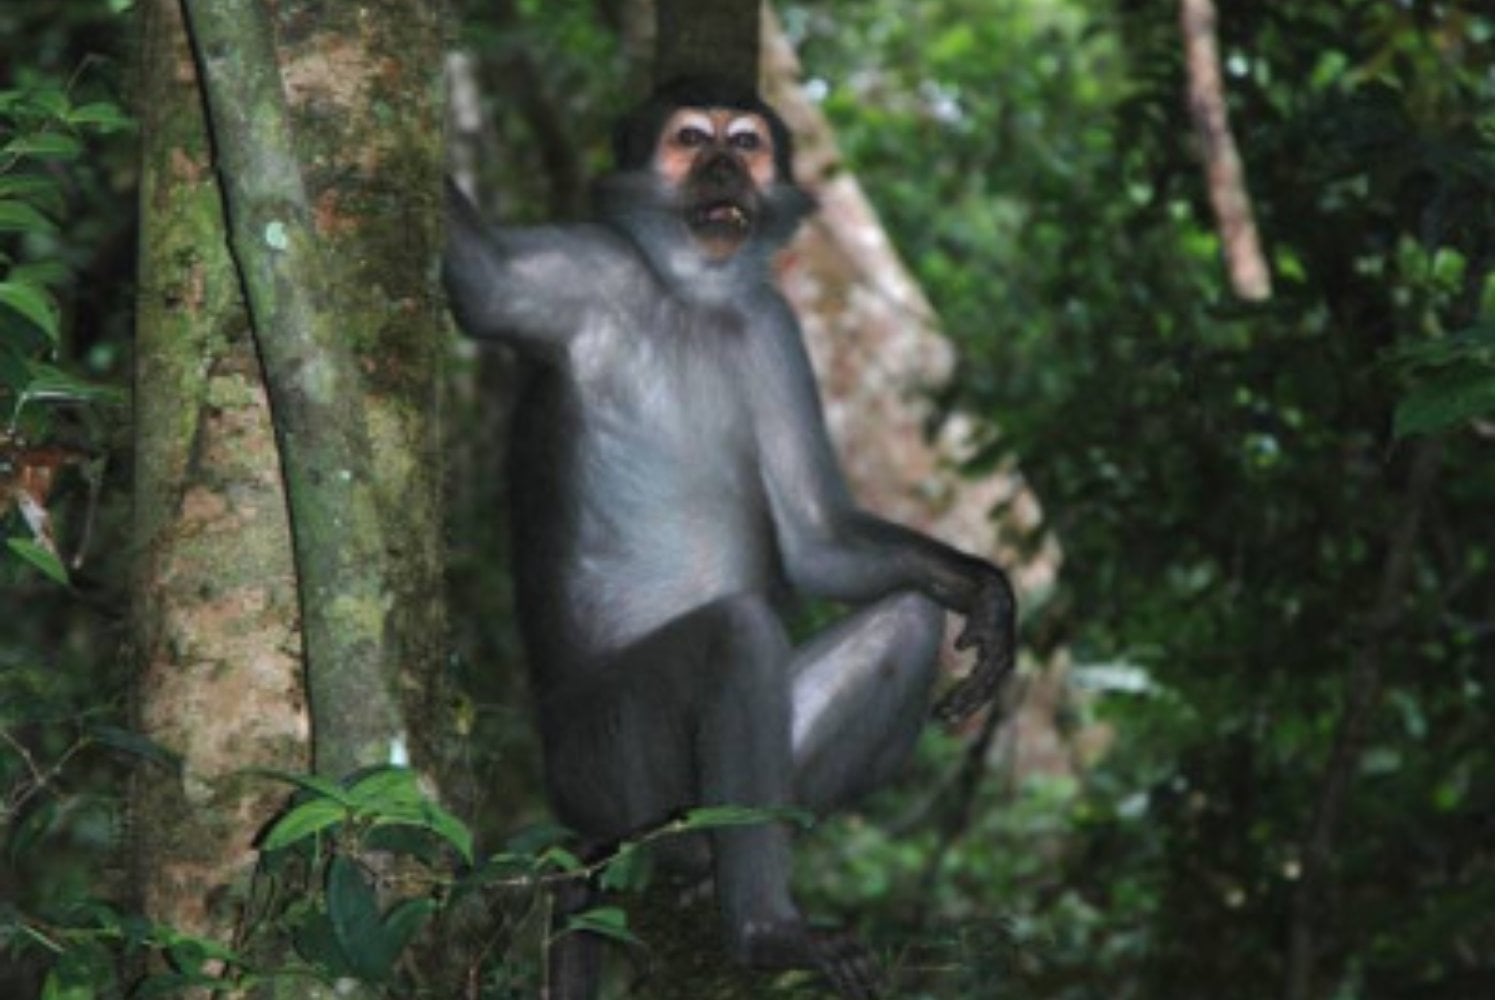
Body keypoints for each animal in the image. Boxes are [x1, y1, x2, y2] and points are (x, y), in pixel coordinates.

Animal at [443, 76, 1016, 999]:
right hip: (607, 760)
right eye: (689, 140)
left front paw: (985, 593)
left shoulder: (773, 325)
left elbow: (817, 538)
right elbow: (478, 277)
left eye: (743, 144)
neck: (695, 299)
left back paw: (706, 880)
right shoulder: (590, 268)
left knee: (905, 619)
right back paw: (761, 930)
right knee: (738, 636)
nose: (720, 169)